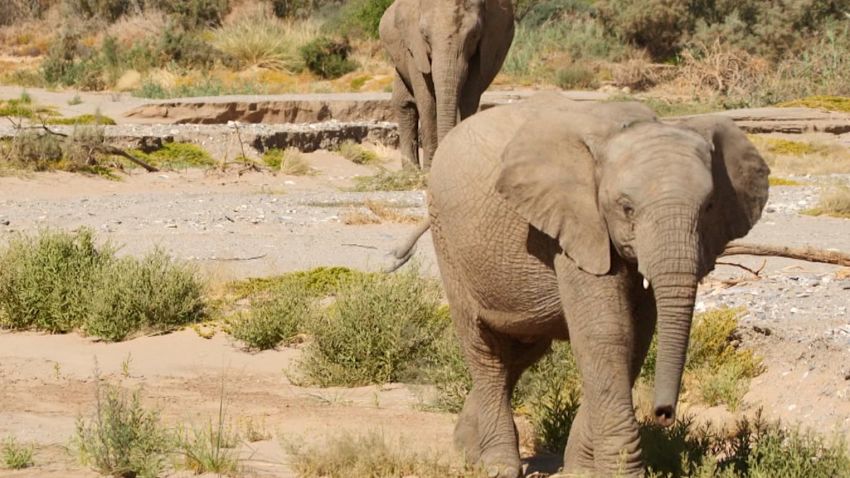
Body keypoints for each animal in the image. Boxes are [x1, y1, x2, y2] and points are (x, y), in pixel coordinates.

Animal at [380, 0, 512, 171]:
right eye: (425, 35)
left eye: (474, 35)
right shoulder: (415, 47)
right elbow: (427, 101)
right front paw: (430, 170)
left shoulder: (485, 47)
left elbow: (468, 97)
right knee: (404, 104)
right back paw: (411, 172)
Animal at [390, 94, 768, 478]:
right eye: (626, 208)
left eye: (709, 207)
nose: (664, 414)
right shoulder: (575, 226)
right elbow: (606, 334)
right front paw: (618, 472)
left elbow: (635, 336)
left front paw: (583, 470)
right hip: (448, 241)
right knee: (485, 350)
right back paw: (497, 465)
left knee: (522, 350)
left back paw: (468, 450)